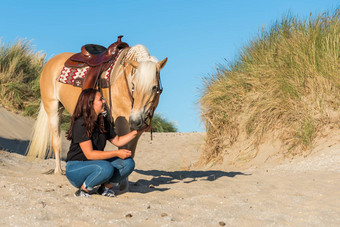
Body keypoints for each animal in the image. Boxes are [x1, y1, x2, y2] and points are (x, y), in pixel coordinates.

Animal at [26, 42, 167, 176]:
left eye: (154, 87)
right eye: (133, 85)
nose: (136, 121)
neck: (121, 79)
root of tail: (50, 62)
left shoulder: (136, 130)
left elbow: (130, 153)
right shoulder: (122, 123)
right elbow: (123, 151)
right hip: (52, 108)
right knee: (56, 142)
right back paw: (58, 171)